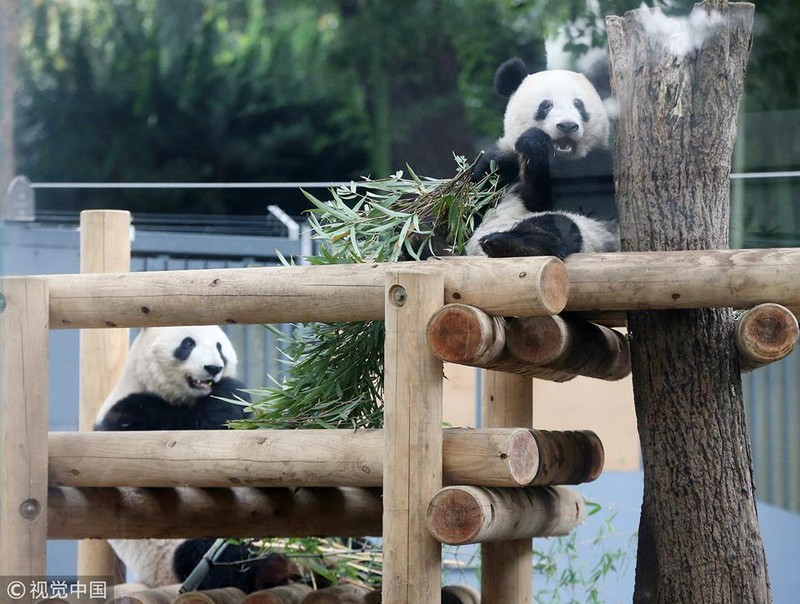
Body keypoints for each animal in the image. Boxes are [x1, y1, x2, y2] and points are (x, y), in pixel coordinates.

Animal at [94, 328, 294, 592]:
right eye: (188, 344)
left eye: (219, 347)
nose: (214, 368)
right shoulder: (127, 417)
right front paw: (232, 389)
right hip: (172, 551)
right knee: (216, 557)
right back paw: (274, 567)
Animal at [466, 59, 620, 260]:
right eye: (546, 105)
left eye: (578, 105)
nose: (567, 126)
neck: (560, 159)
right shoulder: (501, 164)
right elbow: (476, 203)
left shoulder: (597, 165)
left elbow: (551, 200)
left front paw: (535, 144)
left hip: (594, 233)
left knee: (556, 225)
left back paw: (510, 243)